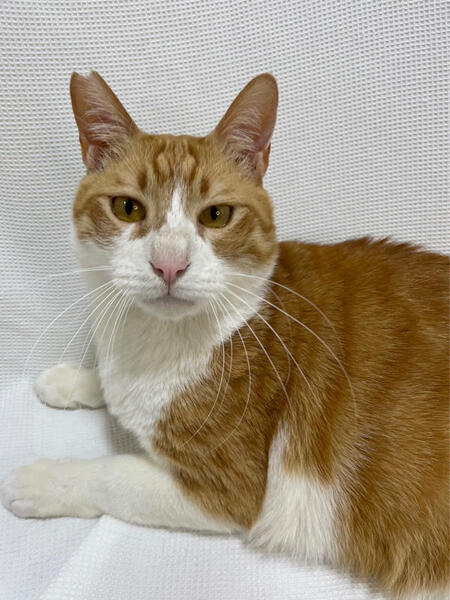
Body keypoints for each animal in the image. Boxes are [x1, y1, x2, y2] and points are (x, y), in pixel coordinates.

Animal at [1, 71, 448, 599]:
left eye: (215, 216)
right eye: (127, 208)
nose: (169, 264)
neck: (156, 344)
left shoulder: (228, 489)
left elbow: (112, 474)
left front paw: (40, 480)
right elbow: (107, 384)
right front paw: (71, 379)